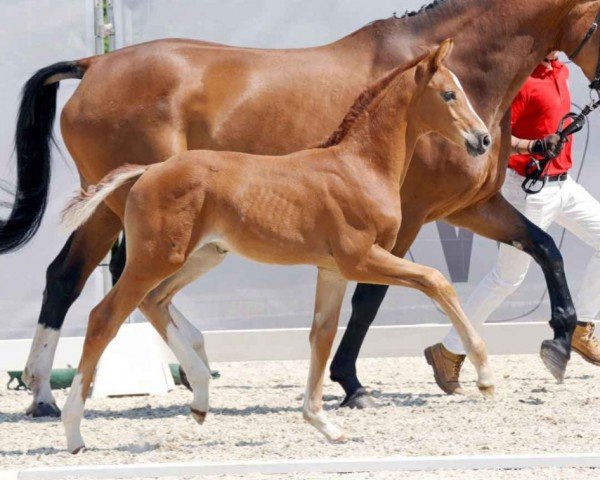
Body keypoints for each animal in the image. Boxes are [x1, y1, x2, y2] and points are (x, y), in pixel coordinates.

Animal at [59, 39, 492, 452]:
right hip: (155, 258)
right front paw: (485, 376)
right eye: (449, 94)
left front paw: (324, 425)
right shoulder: (360, 259)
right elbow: (435, 280)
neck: (359, 166)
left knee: (154, 301)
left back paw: (200, 396)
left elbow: (321, 336)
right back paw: (74, 433)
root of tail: (149, 170)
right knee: (105, 317)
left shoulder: (332, 270)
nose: (484, 138)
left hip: (200, 256)